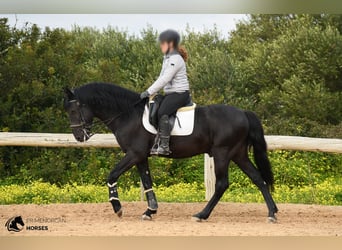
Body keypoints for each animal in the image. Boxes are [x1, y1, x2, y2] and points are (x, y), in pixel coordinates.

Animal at [63, 83, 278, 222]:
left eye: (73, 111)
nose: (79, 136)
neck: (127, 115)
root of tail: (243, 113)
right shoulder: (140, 156)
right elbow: (147, 181)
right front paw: (150, 211)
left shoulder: (134, 154)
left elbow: (112, 174)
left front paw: (118, 207)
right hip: (238, 154)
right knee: (258, 178)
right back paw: (272, 212)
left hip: (222, 153)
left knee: (222, 184)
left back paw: (202, 215)